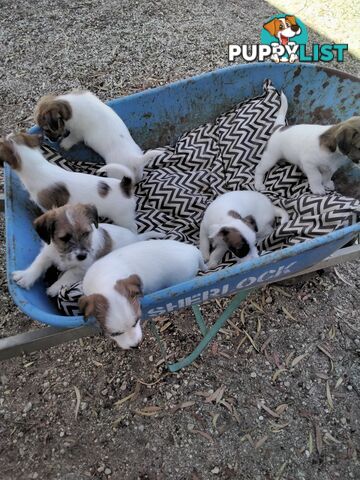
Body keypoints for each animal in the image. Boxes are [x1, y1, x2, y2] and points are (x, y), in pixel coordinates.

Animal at [11, 202, 163, 296]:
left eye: (85, 233)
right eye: (64, 238)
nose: (82, 256)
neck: (62, 255)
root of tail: (136, 238)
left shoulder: (82, 267)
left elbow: (68, 274)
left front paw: (54, 288)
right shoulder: (48, 252)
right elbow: (38, 264)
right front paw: (26, 277)